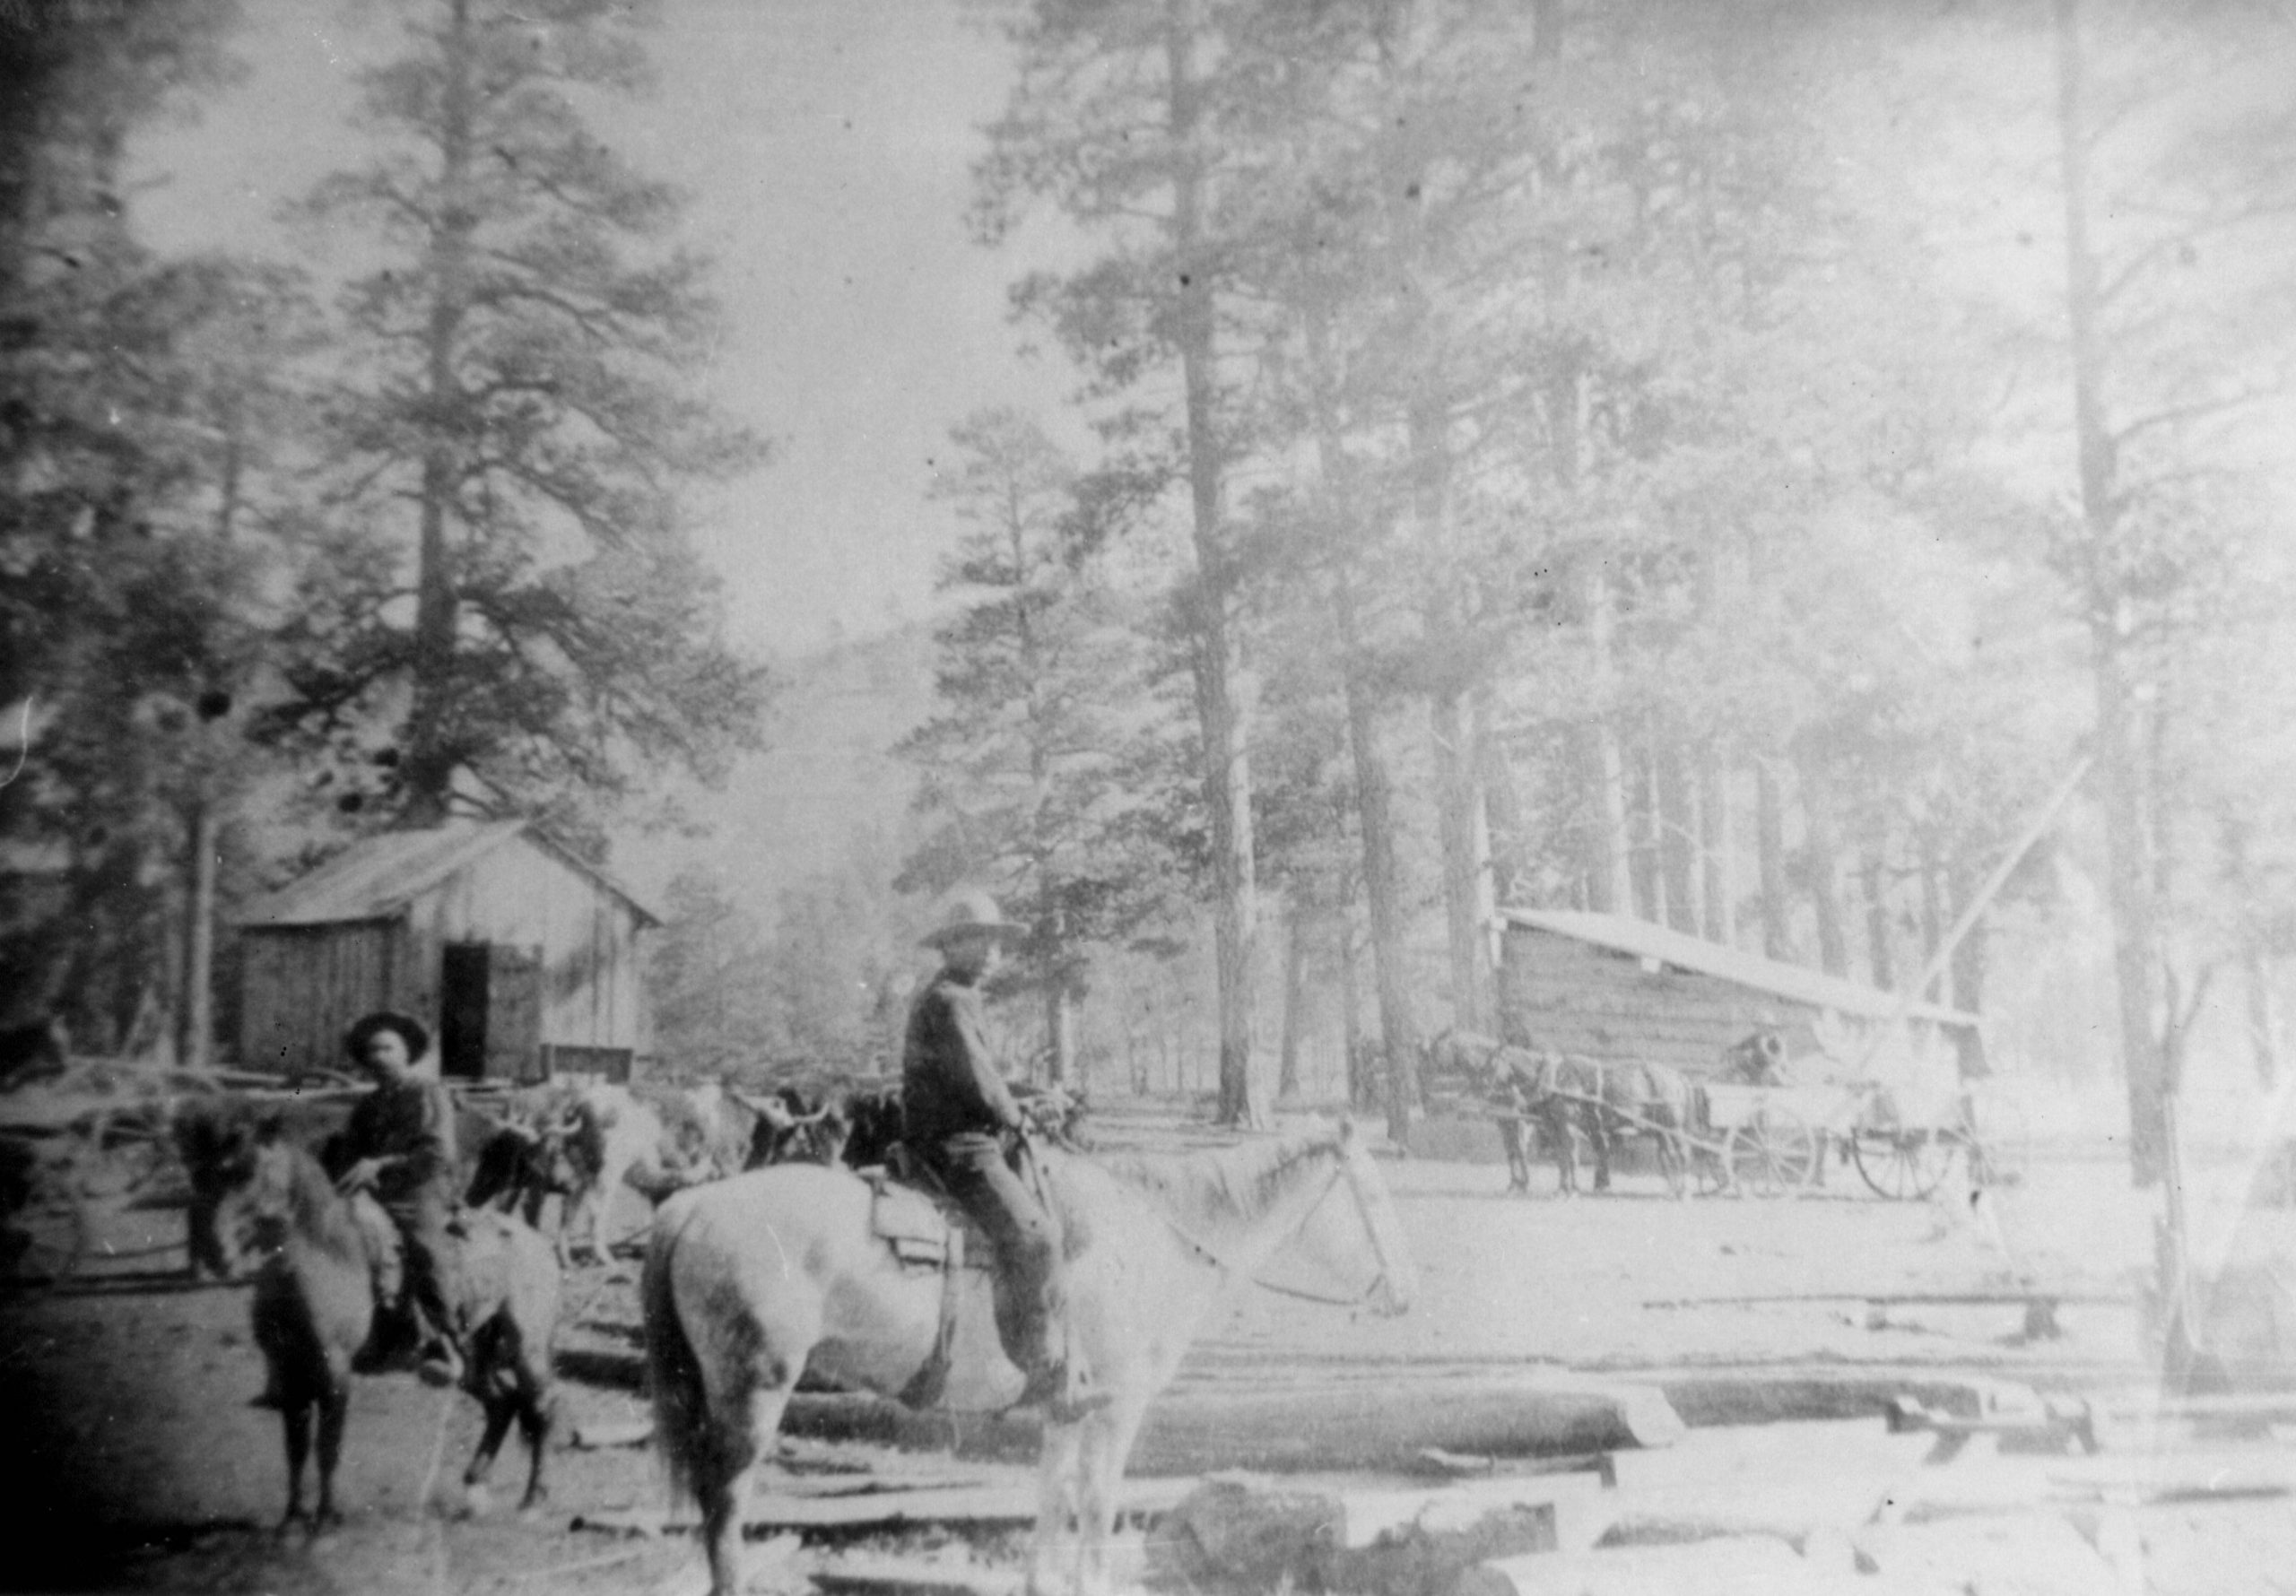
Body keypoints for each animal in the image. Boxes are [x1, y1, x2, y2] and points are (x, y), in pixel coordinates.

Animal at [186, 1106, 562, 1533]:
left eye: (249, 1173)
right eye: (209, 1171)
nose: (215, 1252)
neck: (327, 1257)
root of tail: (539, 1242)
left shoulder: (335, 1373)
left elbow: (327, 1448)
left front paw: (325, 1524)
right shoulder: (290, 1370)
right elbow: (295, 1449)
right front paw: (291, 1522)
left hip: (527, 1349)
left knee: (543, 1407)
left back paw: (532, 1501)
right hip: (475, 1356)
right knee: (503, 1403)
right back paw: (474, 1493)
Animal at [638, 1115, 1405, 1596]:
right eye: (1369, 1191)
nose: (1408, 1290)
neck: (1147, 1238)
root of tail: (691, 1207)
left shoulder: (1067, 1406)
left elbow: (1052, 1490)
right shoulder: (1117, 1407)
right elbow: (1096, 1500)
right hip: (752, 1390)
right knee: (725, 1502)